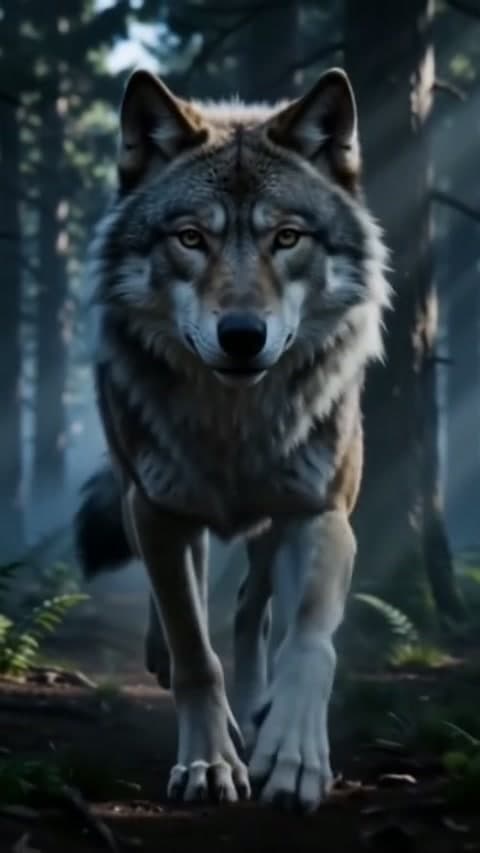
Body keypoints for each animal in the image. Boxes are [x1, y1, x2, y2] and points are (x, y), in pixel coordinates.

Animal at [74, 66, 390, 812]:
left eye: (287, 238)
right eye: (191, 239)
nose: (243, 335)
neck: (235, 423)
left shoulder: (320, 512)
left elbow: (309, 639)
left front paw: (294, 753)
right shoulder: (157, 509)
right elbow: (195, 652)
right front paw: (209, 763)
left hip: (272, 524)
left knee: (251, 608)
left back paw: (257, 707)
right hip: (143, 493)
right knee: (184, 600)